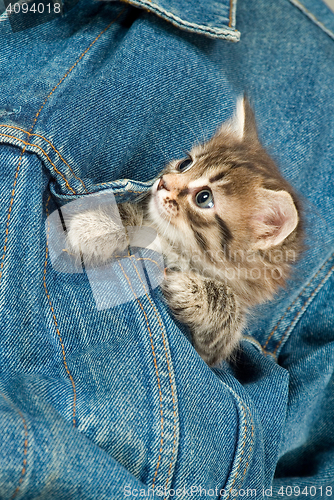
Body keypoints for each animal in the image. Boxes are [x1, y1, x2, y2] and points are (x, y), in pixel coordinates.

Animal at [66, 98, 304, 368]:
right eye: (185, 163)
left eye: (204, 198)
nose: (163, 181)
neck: (174, 247)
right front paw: (97, 225)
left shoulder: (211, 353)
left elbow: (227, 313)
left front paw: (191, 291)